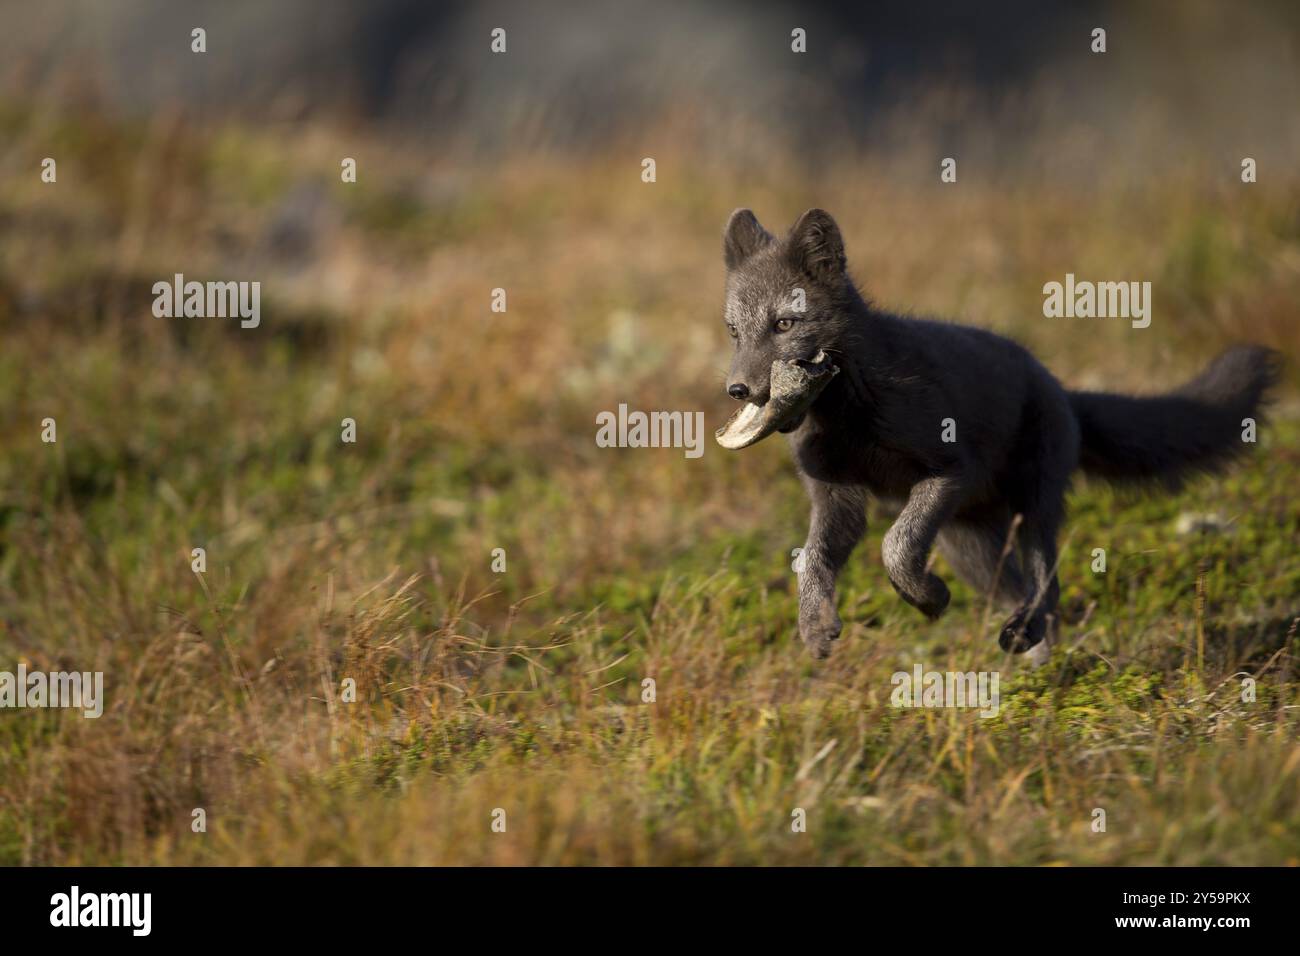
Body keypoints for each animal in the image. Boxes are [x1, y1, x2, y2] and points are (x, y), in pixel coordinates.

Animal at [722, 208, 1279, 658]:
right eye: (734, 331)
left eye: (784, 324)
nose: (738, 390)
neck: (849, 406)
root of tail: (1060, 388)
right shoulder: (838, 498)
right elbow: (814, 562)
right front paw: (816, 627)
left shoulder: (950, 469)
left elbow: (895, 547)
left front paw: (928, 597)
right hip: (968, 544)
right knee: (1025, 596)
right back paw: (1035, 675)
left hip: (1031, 506)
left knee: (1047, 589)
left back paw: (1029, 649)